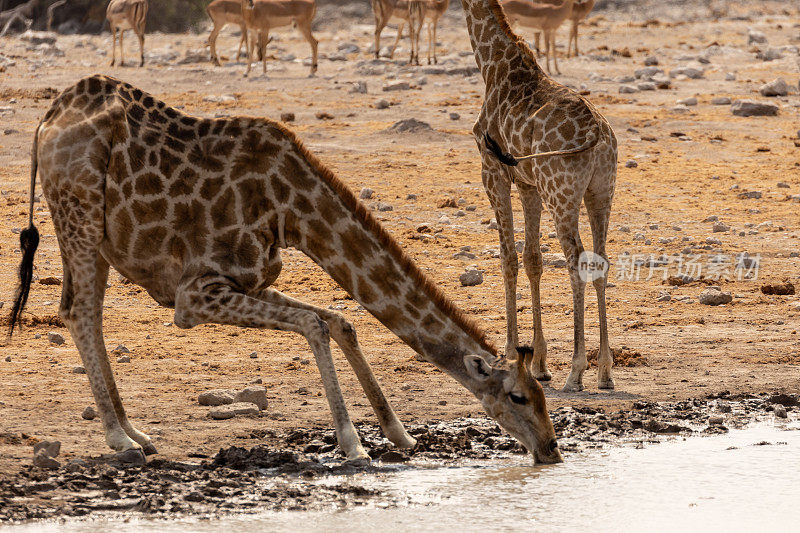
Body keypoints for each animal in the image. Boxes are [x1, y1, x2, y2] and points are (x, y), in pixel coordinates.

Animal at [9, 76, 560, 466]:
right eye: (518, 397)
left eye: (542, 396)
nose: (551, 450)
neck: (293, 210)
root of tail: (48, 118)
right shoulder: (194, 295)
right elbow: (315, 323)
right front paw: (353, 443)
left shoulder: (249, 280)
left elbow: (340, 320)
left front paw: (398, 433)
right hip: (78, 211)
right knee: (79, 310)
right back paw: (118, 437)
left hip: (96, 235)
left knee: (84, 311)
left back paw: (136, 432)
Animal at [460, 0, 616, 388]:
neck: (493, 66)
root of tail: (596, 133)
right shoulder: (528, 183)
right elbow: (532, 259)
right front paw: (539, 363)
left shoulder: (493, 171)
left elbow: (508, 259)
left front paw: (510, 353)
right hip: (601, 191)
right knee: (601, 259)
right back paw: (605, 371)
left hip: (561, 194)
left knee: (577, 259)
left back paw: (576, 371)